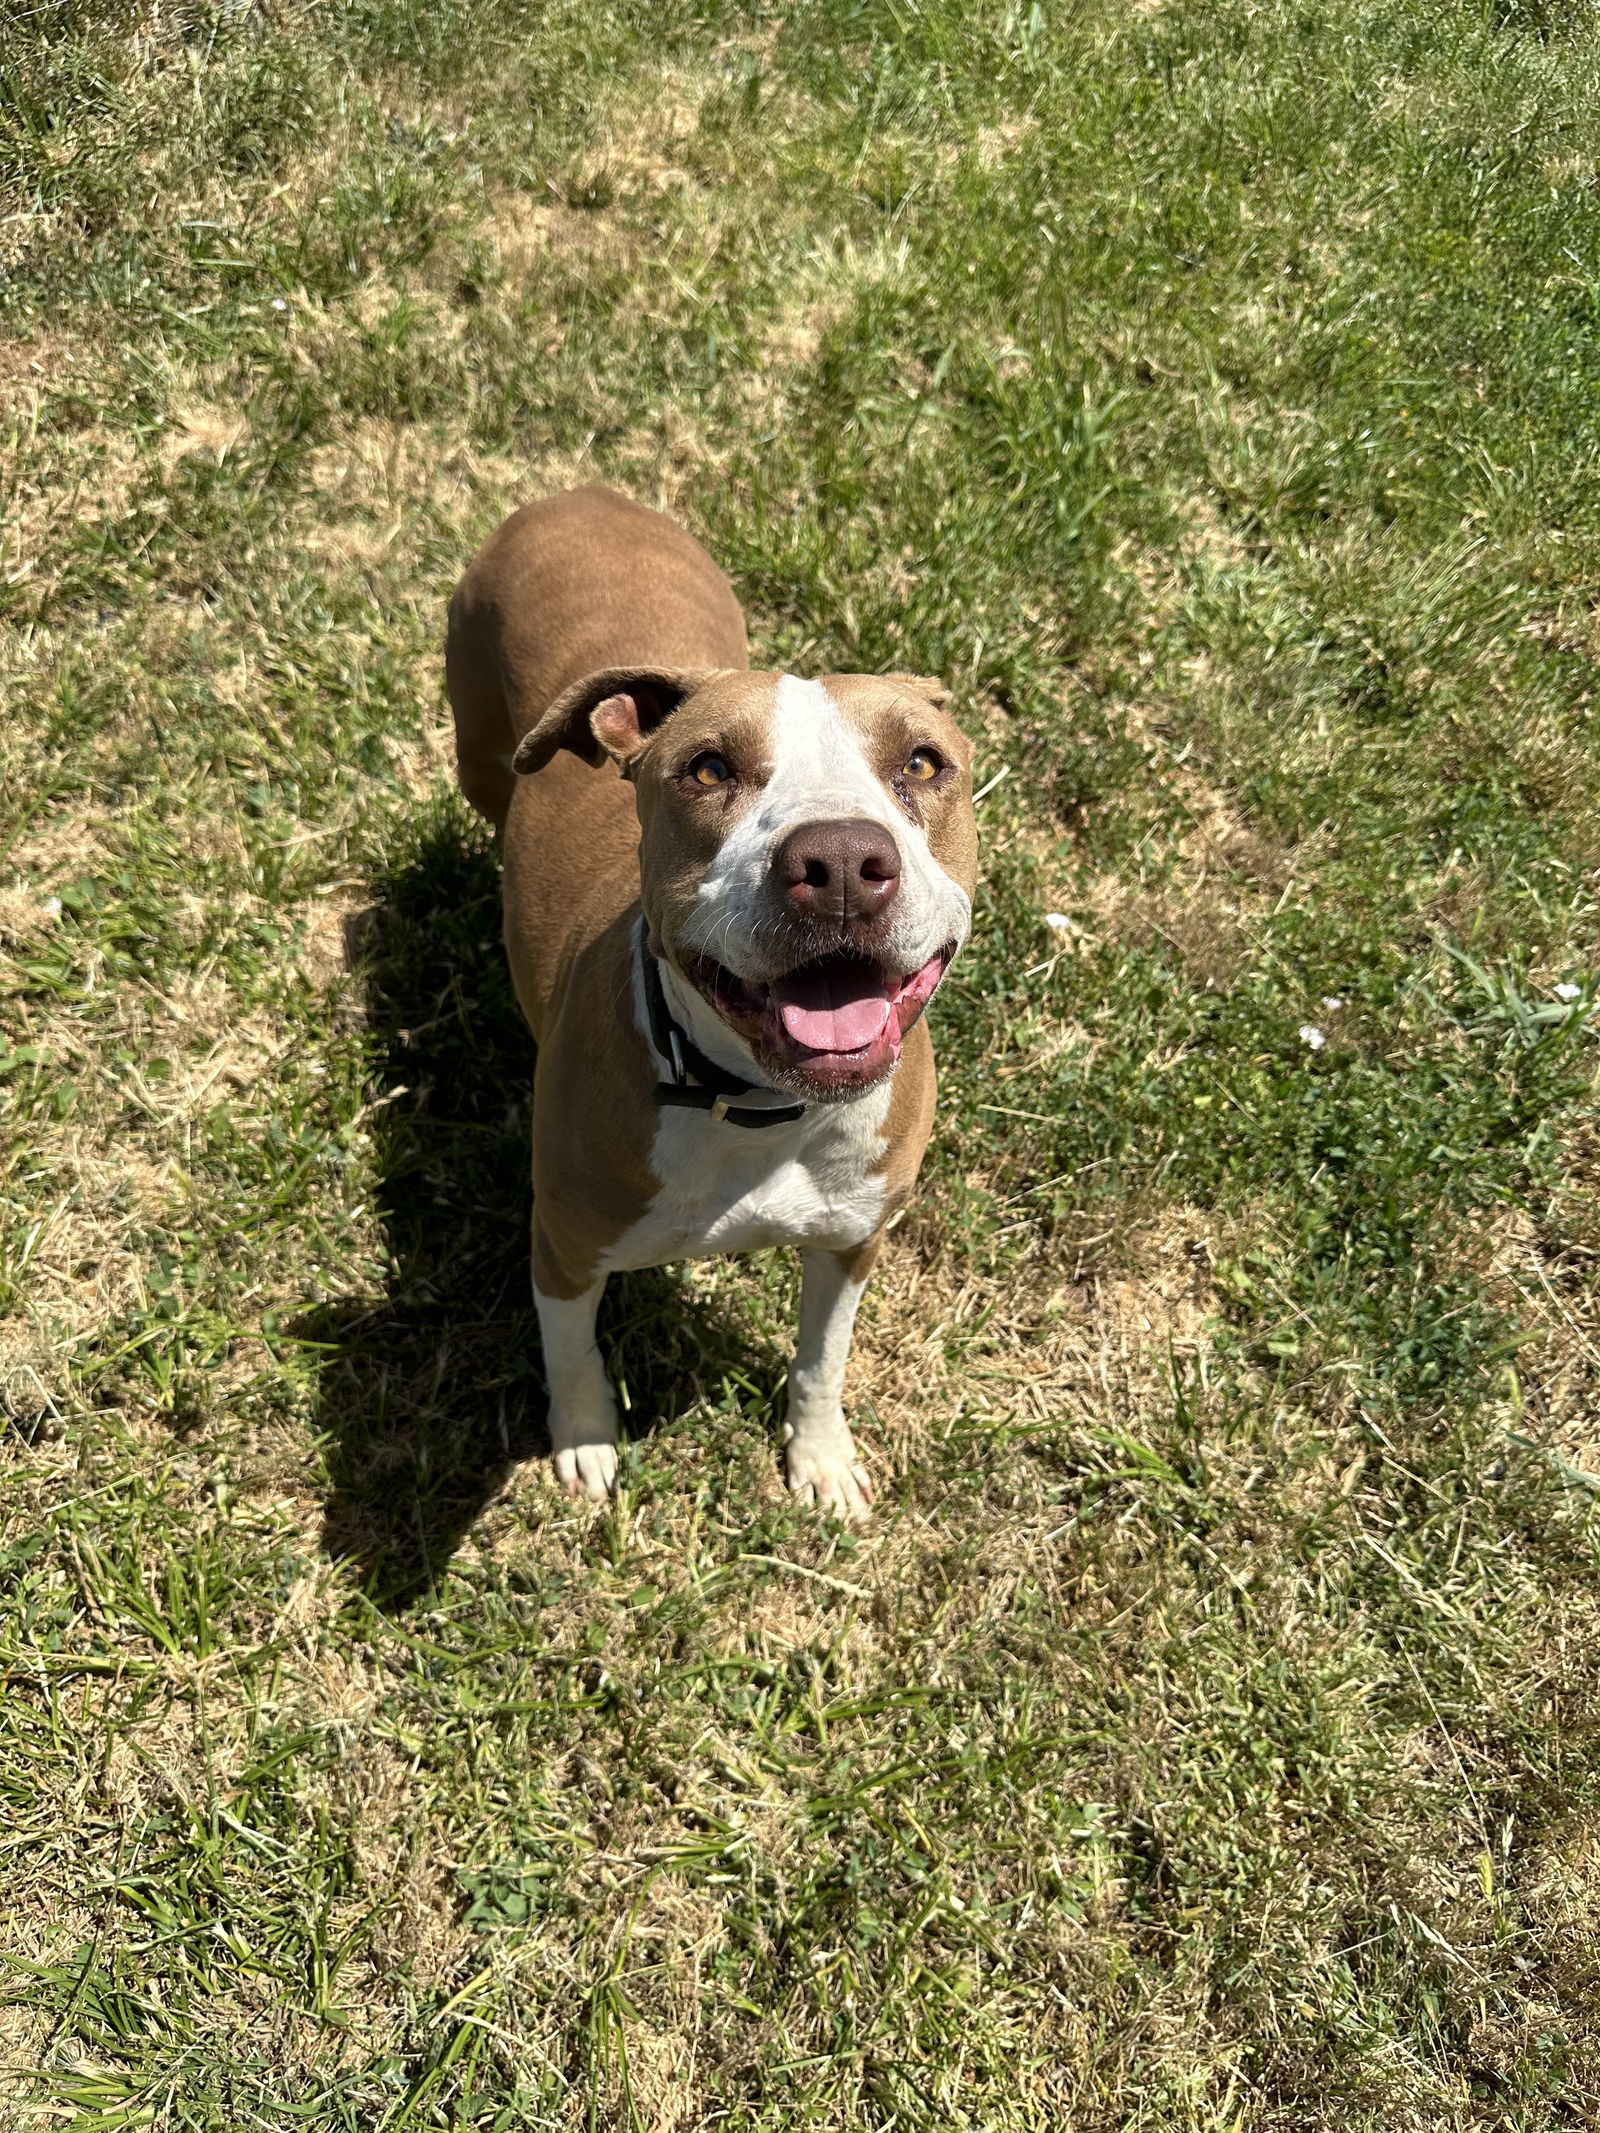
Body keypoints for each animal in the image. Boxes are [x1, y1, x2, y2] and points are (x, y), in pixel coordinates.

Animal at [445, 484, 985, 1518]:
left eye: (922, 763)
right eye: (707, 769)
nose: (841, 862)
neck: (756, 1106)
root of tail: (585, 494)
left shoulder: (853, 1239)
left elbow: (822, 1359)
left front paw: (819, 1457)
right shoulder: (562, 1244)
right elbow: (572, 1354)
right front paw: (584, 1440)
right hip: (480, 746)